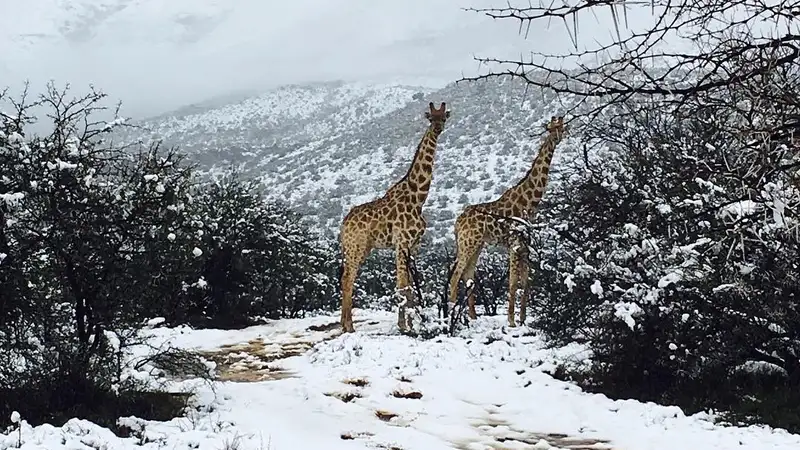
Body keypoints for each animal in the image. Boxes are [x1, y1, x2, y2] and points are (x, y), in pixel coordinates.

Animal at [336, 103, 450, 334]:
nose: (437, 129)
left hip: (363, 248)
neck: (418, 198)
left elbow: (411, 287)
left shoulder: (414, 245)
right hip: (355, 247)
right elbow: (402, 286)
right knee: (347, 278)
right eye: (430, 118)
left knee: (346, 279)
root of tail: (343, 224)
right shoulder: (401, 243)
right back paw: (348, 327)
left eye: (444, 117)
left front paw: (415, 324)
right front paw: (404, 326)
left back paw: (345, 324)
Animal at [444, 116, 568, 326]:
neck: (529, 202)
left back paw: (473, 317)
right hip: (468, 243)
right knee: (455, 275)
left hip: (477, 244)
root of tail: (457, 223)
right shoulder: (514, 244)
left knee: (468, 275)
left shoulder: (525, 246)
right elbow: (513, 282)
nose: (560, 136)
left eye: (562, 126)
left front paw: (523, 319)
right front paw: (511, 320)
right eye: (552, 127)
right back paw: (452, 317)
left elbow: (526, 282)